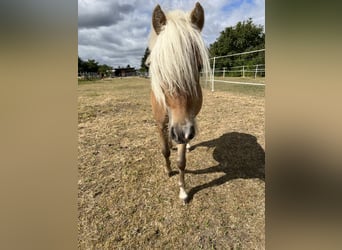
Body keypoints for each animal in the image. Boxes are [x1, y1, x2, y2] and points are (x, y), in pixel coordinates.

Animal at [146, 2, 210, 203]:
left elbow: (181, 162)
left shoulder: (185, 123)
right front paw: (167, 170)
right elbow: (164, 151)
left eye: (199, 67)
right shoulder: (161, 124)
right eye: (158, 69)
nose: (182, 133)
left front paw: (183, 191)